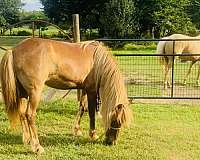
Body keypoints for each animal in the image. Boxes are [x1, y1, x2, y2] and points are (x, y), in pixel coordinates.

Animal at [0, 38, 132, 154]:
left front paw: (77, 131)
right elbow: (91, 113)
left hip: (22, 92)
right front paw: (93, 135)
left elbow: (82, 108)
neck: (97, 61)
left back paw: (27, 140)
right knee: (30, 115)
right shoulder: (92, 90)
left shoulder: (84, 89)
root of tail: (13, 50)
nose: (111, 142)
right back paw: (37, 147)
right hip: (34, 93)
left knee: (22, 114)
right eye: (116, 121)